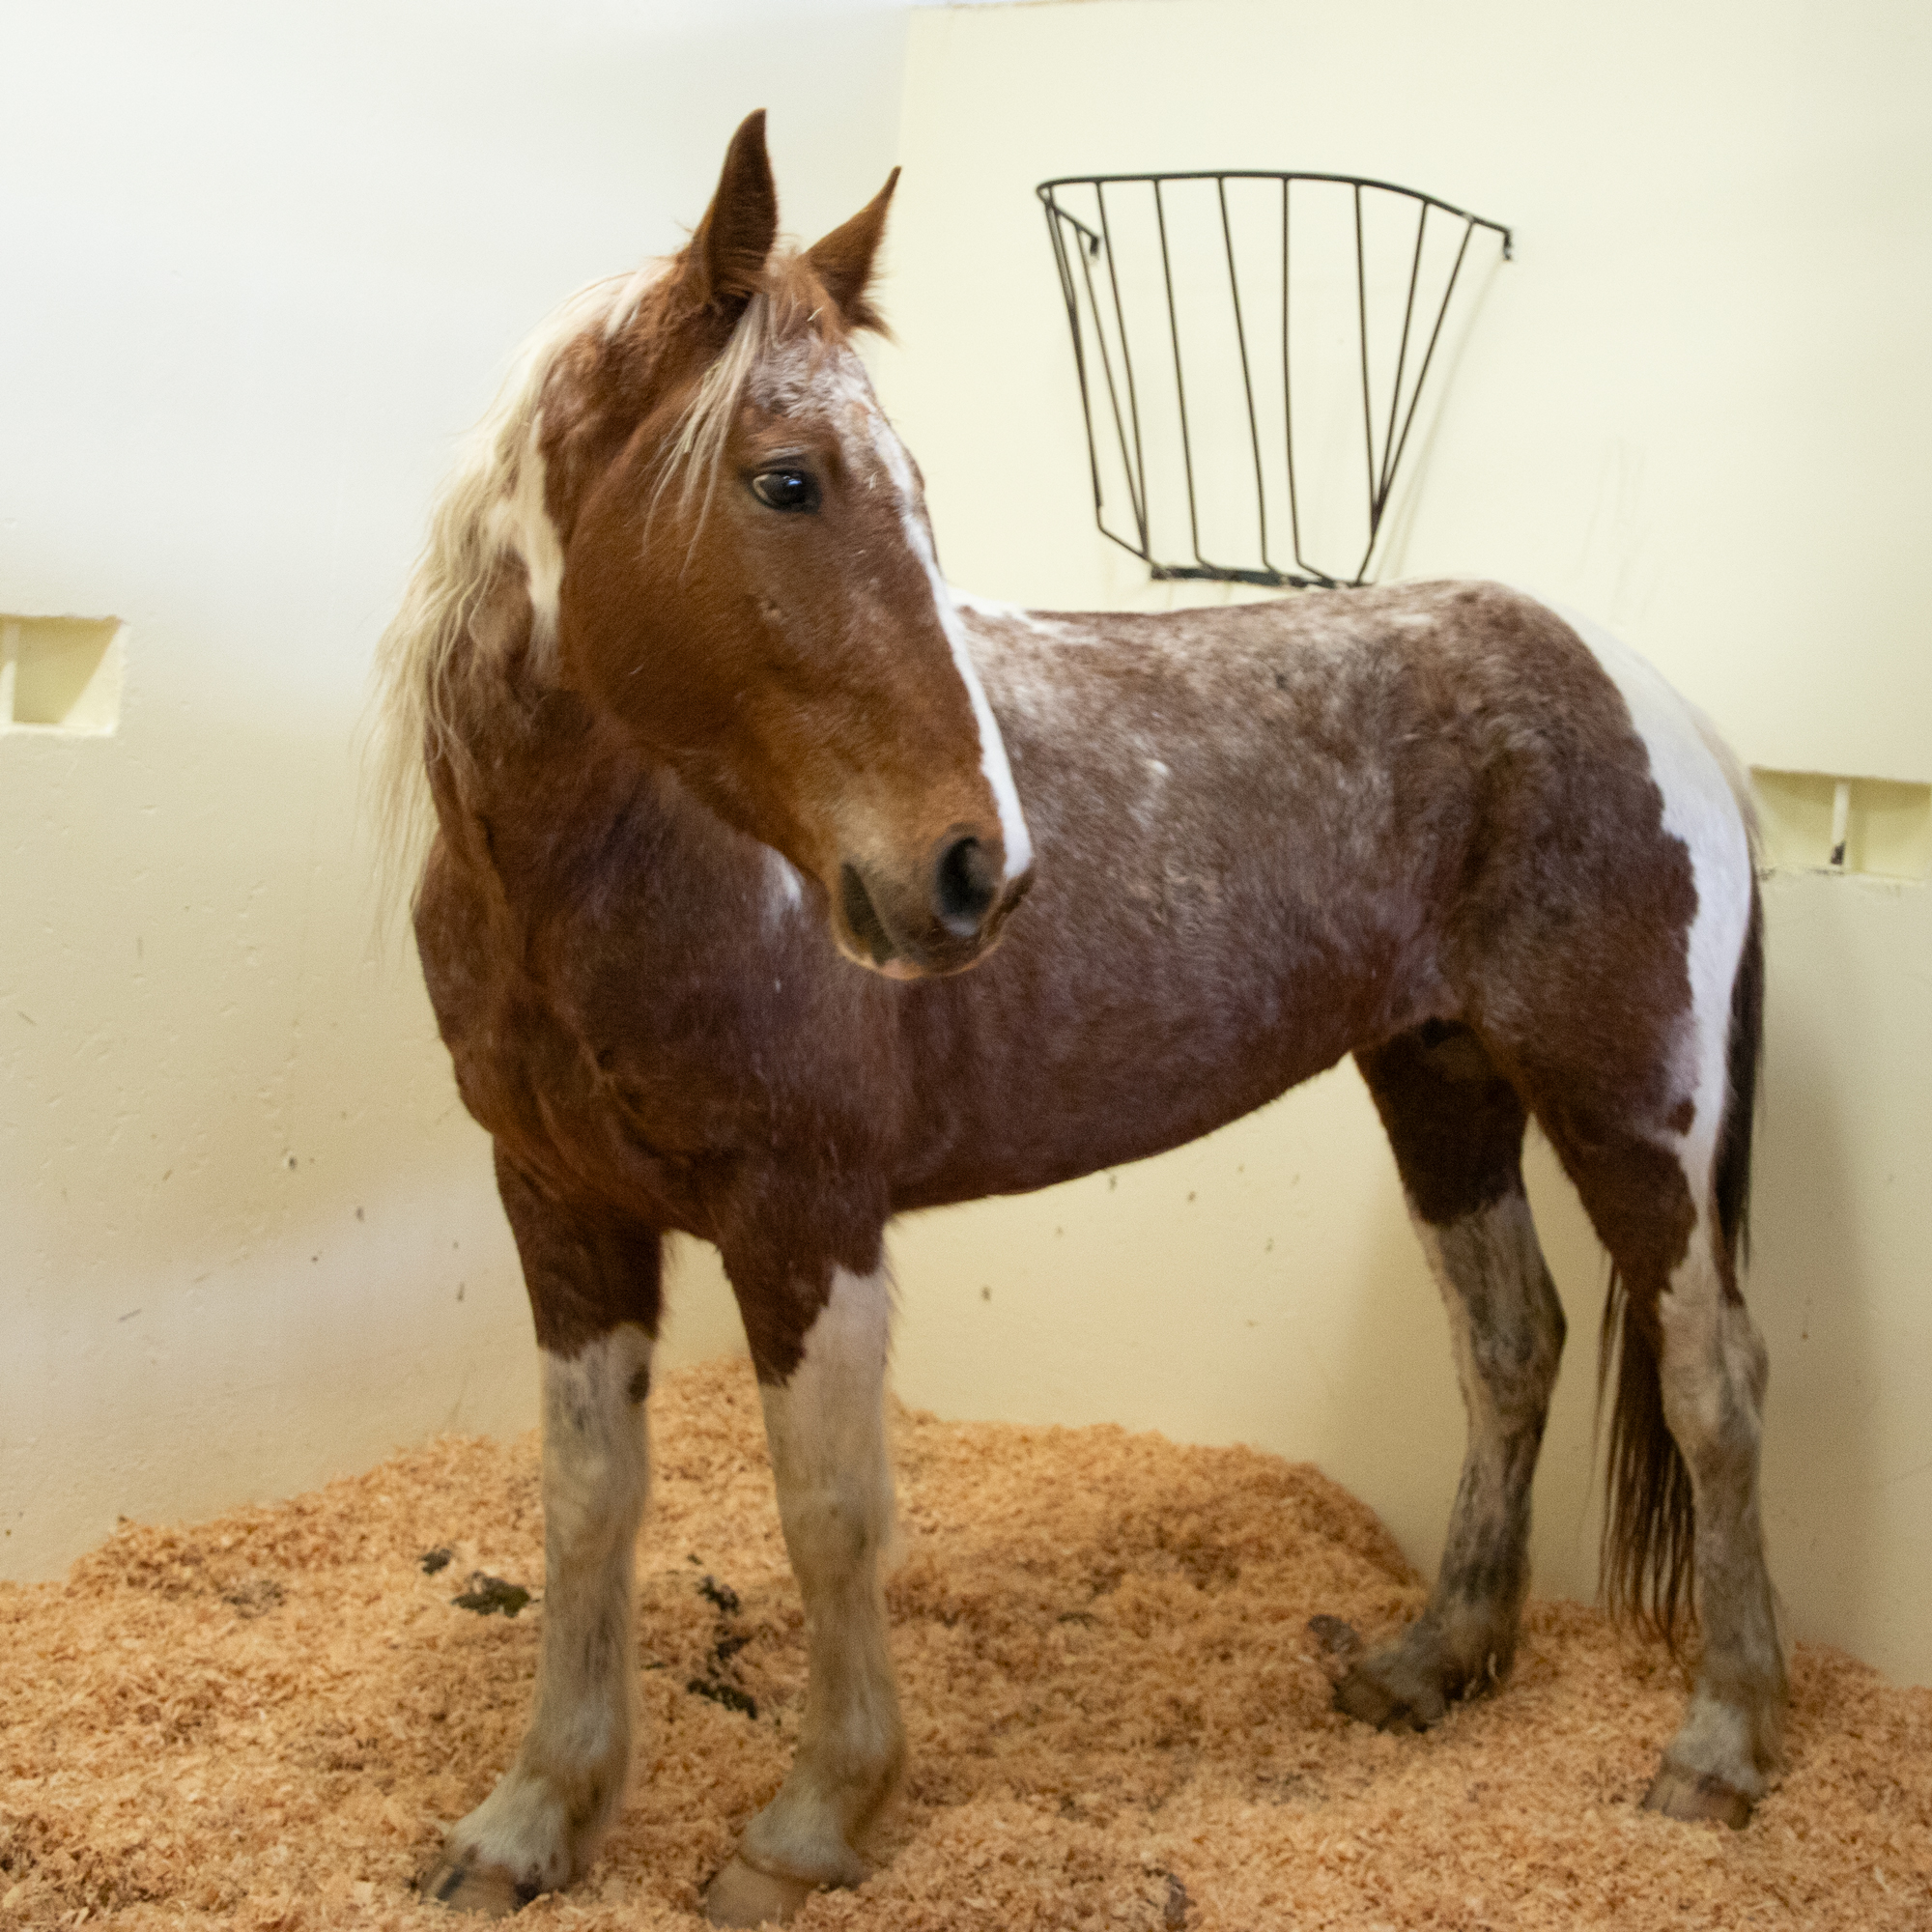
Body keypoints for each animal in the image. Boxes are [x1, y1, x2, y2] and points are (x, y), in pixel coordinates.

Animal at [377, 113, 1777, 1924]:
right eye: (785, 479)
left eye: (908, 493)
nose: (977, 869)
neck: (606, 874)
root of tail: (1650, 696)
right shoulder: (560, 1212)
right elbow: (584, 1505)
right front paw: (535, 1818)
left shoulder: (805, 1219)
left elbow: (830, 1510)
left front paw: (812, 1821)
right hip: (1442, 1082)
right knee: (1509, 1342)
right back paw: (1433, 1660)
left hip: (1632, 1112)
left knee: (1713, 1382)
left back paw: (1722, 1744)